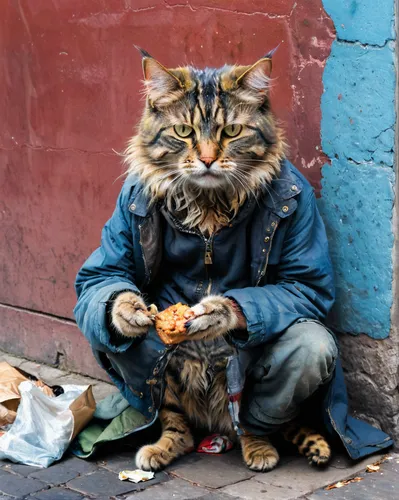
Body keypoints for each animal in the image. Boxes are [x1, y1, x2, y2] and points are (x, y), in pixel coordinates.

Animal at [74, 48, 394, 470]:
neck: (209, 204)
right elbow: (104, 276)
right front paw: (128, 312)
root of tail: (216, 425)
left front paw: (218, 313)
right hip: (165, 383)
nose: (209, 160)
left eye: (232, 132)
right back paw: (162, 448)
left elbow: (299, 288)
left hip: (257, 385)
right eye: (184, 132)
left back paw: (260, 447)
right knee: (177, 425)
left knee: (256, 414)